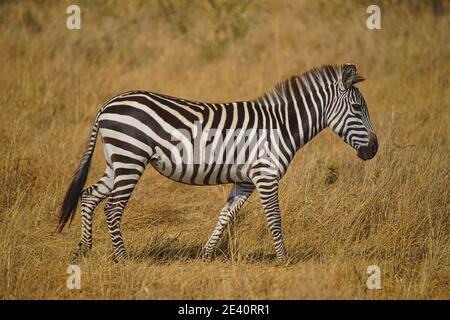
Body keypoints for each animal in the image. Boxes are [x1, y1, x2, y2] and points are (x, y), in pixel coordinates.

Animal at [58, 63, 378, 262]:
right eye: (357, 108)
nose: (374, 149)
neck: (281, 125)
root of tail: (107, 105)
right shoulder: (265, 175)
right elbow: (274, 218)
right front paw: (284, 259)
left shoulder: (246, 181)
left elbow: (225, 216)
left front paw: (207, 254)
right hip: (131, 158)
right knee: (112, 208)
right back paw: (122, 258)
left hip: (118, 161)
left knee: (88, 196)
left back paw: (83, 249)